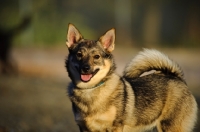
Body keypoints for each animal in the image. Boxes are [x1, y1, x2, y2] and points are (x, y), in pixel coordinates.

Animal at [65, 24, 197, 132]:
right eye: (79, 55)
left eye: (96, 56)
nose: (85, 68)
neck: (90, 90)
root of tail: (176, 77)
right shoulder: (84, 128)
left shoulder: (115, 127)